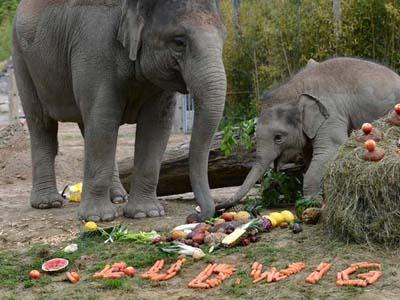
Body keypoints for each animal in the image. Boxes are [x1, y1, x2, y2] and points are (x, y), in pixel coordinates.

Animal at [12, 0, 227, 220]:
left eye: (224, 38)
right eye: (179, 42)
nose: (194, 216)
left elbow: (156, 124)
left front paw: (146, 214)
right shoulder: (95, 46)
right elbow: (103, 118)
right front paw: (98, 218)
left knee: (86, 126)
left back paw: (118, 198)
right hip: (21, 59)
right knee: (41, 123)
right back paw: (48, 203)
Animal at [217, 57, 400, 210]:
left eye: (278, 138)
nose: (219, 206)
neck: (297, 88)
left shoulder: (331, 115)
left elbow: (329, 150)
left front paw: (310, 202)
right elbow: (310, 156)